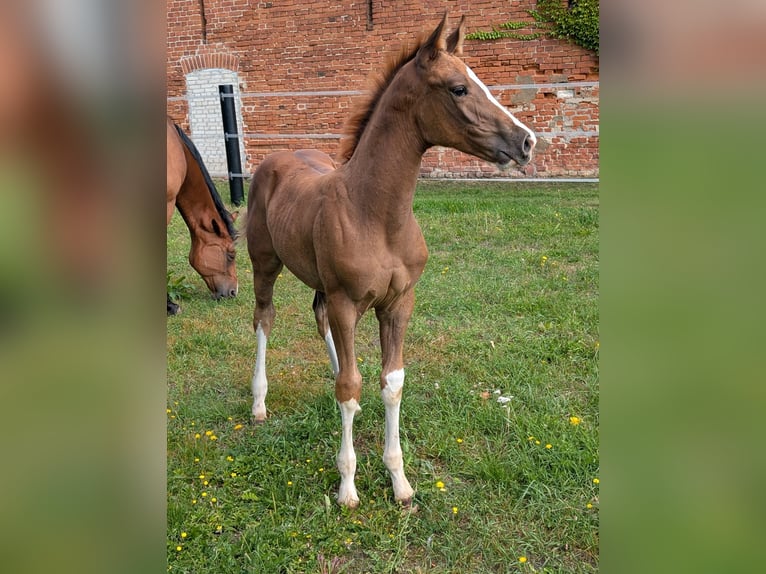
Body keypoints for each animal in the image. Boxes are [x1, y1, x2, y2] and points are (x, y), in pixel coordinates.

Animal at [243, 14, 536, 507]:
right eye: (459, 88)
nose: (526, 141)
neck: (375, 214)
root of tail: (279, 156)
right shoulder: (347, 302)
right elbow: (352, 387)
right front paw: (347, 487)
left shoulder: (399, 303)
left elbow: (391, 382)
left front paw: (399, 481)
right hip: (265, 265)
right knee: (264, 319)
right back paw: (259, 403)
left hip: (321, 285)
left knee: (319, 320)